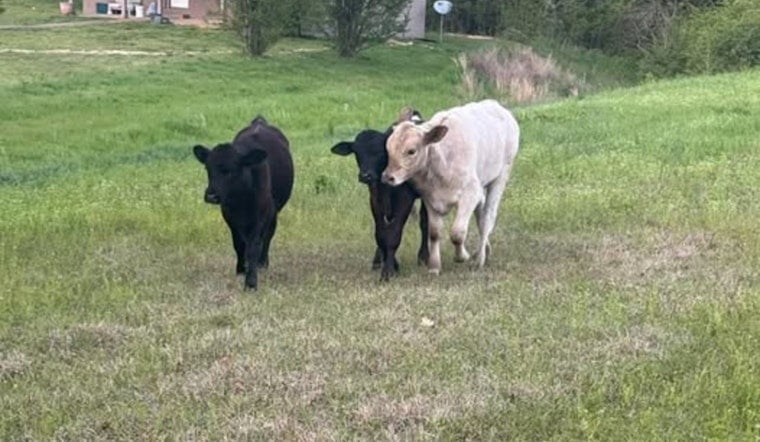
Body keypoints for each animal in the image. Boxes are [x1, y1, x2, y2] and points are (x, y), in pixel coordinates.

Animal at [192, 116, 294, 290]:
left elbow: (254, 245)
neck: (241, 198)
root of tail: (259, 122)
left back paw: (262, 263)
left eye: (230, 169)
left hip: (274, 212)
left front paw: (251, 281)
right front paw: (240, 269)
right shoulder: (229, 215)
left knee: (268, 236)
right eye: (207, 168)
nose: (211, 196)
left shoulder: (261, 215)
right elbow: (238, 244)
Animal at [330, 110, 429, 280]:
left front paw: (388, 271)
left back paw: (423, 256)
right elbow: (381, 234)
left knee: (424, 222)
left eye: (381, 152)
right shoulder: (375, 200)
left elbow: (394, 234)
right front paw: (391, 263)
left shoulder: (405, 200)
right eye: (357, 152)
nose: (366, 176)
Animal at [381, 99, 519, 275]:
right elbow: (434, 233)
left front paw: (462, 256)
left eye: (411, 151)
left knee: (487, 217)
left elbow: (457, 233)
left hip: (502, 174)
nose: (387, 177)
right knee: (480, 212)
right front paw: (434, 267)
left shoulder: (470, 193)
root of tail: (497, 106)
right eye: (388, 148)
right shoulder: (430, 198)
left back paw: (479, 259)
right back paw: (484, 251)